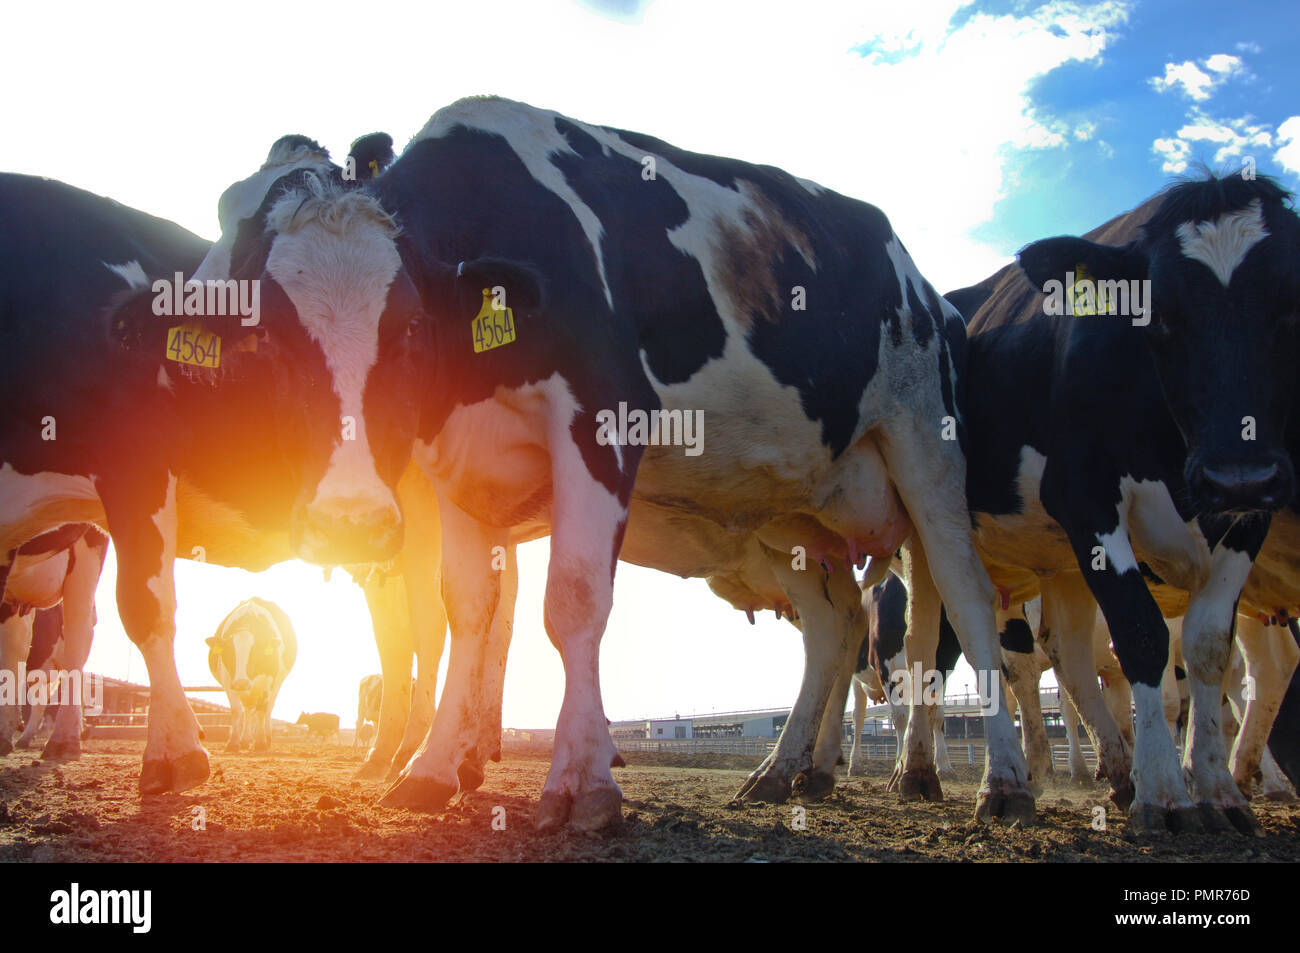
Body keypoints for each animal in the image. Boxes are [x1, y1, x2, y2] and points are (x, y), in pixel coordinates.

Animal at [206, 597, 297, 752]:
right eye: (230, 654)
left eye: (255, 654)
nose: (241, 683)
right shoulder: (228, 680)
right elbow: (237, 710)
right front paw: (233, 742)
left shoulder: (269, 680)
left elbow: (261, 710)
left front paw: (260, 742)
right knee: (248, 709)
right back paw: (245, 740)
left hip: (277, 683)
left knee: (267, 709)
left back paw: (267, 738)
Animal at [297, 95, 1030, 831]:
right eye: (285, 330)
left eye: (409, 328)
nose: (344, 519)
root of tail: (930, 291)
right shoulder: (461, 469)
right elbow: (469, 613)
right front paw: (431, 769)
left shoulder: (601, 416)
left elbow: (573, 602)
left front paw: (581, 783)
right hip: (791, 509)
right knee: (834, 627)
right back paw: (788, 769)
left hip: (925, 448)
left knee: (964, 598)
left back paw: (999, 781)